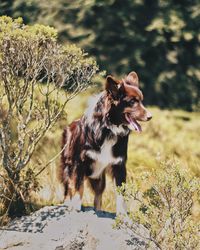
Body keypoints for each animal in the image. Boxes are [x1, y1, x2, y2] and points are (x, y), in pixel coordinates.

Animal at [60, 71, 152, 214]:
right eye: (132, 101)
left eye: (141, 100)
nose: (150, 116)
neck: (108, 129)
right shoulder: (79, 163)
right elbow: (78, 187)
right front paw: (75, 207)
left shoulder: (119, 165)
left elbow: (120, 194)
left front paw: (122, 215)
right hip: (67, 166)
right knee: (68, 187)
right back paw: (66, 204)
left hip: (98, 177)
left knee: (98, 195)